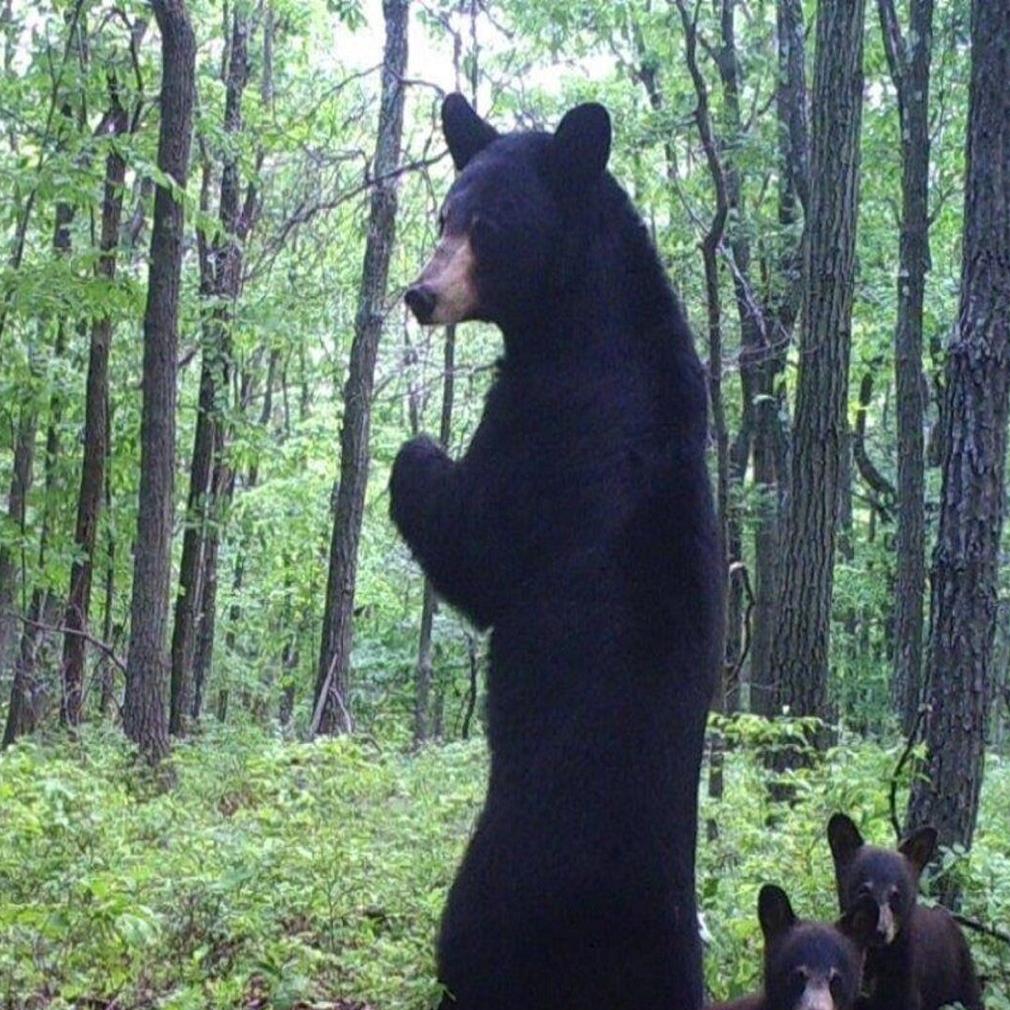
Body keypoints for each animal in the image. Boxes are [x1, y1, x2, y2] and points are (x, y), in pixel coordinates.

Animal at [389, 96, 723, 1010]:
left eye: (490, 227)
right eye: (444, 215)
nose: (420, 293)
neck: (582, 319)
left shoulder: (553, 430)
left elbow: (478, 547)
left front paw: (418, 453)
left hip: (496, 881)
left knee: (467, 947)